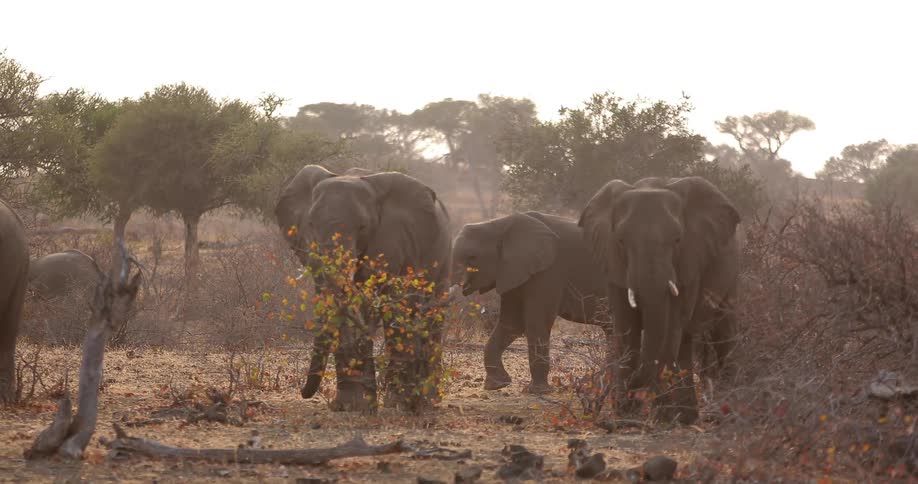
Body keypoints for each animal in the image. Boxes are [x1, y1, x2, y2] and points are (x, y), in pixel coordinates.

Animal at [274, 164, 452, 411]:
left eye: (363, 227)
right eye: (310, 224)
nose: (303, 392)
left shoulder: (395, 240)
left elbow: (395, 303)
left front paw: (393, 404)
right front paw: (350, 407)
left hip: (444, 256)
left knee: (432, 313)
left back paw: (429, 400)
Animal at [452, 212, 609, 394]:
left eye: (472, 257)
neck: (499, 224)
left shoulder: (548, 270)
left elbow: (536, 320)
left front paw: (537, 391)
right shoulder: (512, 270)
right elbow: (512, 323)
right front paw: (497, 385)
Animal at [578, 176, 740, 424]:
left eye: (678, 240)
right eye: (621, 241)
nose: (635, 395)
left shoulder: (688, 262)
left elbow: (670, 327)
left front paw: (659, 417)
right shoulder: (613, 264)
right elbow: (626, 328)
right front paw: (625, 415)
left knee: (722, 334)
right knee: (685, 342)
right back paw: (686, 417)